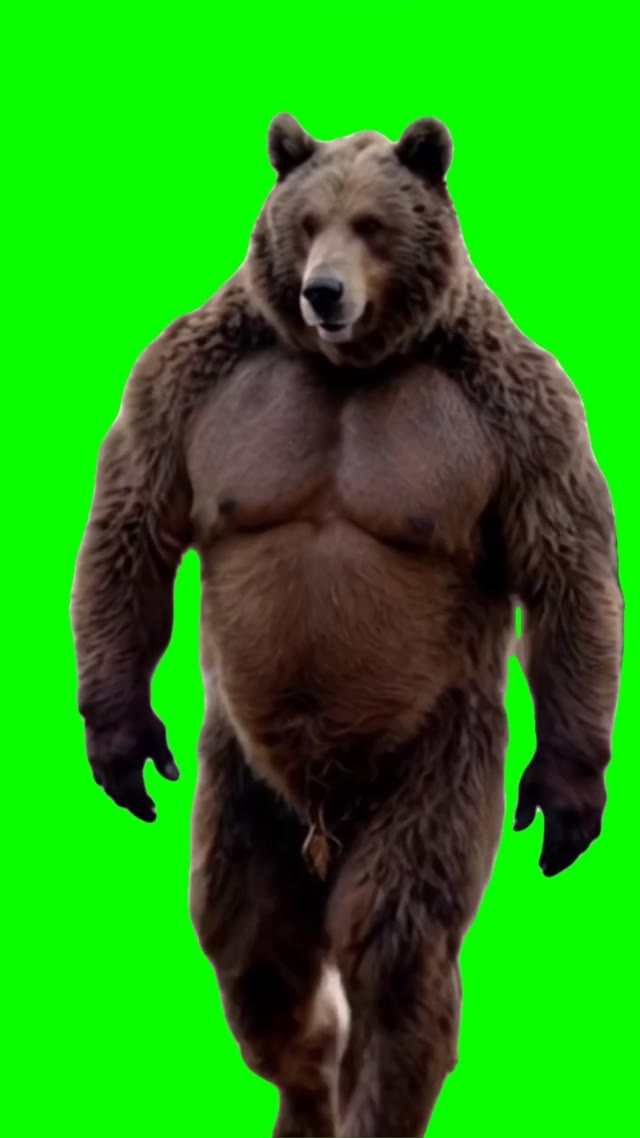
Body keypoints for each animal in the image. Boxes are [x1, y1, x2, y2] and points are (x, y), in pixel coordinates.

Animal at [70, 114, 623, 1138]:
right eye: (309, 219)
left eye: (372, 223)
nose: (321, 291)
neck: (351, 366)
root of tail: (323, 817)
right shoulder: (195, 379)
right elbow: (133, 521)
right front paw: (122, 742)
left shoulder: (517, 414)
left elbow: (566, 565)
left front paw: (568, 795)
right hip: (242, 784)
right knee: (253, 937)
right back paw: (305, 1089)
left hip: (432, 752)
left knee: (392, 933)